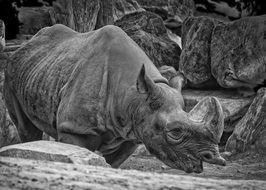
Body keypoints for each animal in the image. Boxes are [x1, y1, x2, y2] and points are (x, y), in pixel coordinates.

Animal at [3, 23, 225, 172]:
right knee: (25, 128)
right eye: (176, 131)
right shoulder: (74, 128)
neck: (135, 98)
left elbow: (112, 164)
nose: (214, 158)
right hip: (10, 71)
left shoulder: (132, 133)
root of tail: (28, 42)